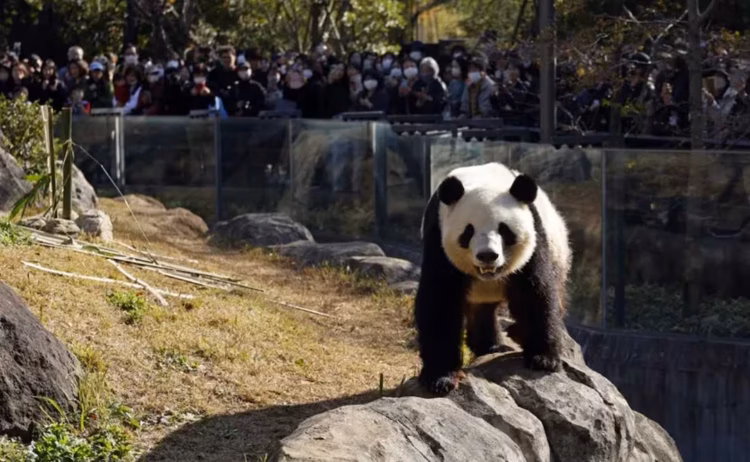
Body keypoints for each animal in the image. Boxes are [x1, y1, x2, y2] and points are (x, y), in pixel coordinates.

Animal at [415, 161, 572, 395]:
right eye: (468, 231)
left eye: (504, 229)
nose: (487, 255)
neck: (483, 180)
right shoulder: (438, 239)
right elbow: (439, 301)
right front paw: (441, 377)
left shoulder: (535, 239)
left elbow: (535, 293)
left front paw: (543, 359)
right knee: (483, 311)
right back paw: (491, 344)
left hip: (559, 253)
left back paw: (509, 338)